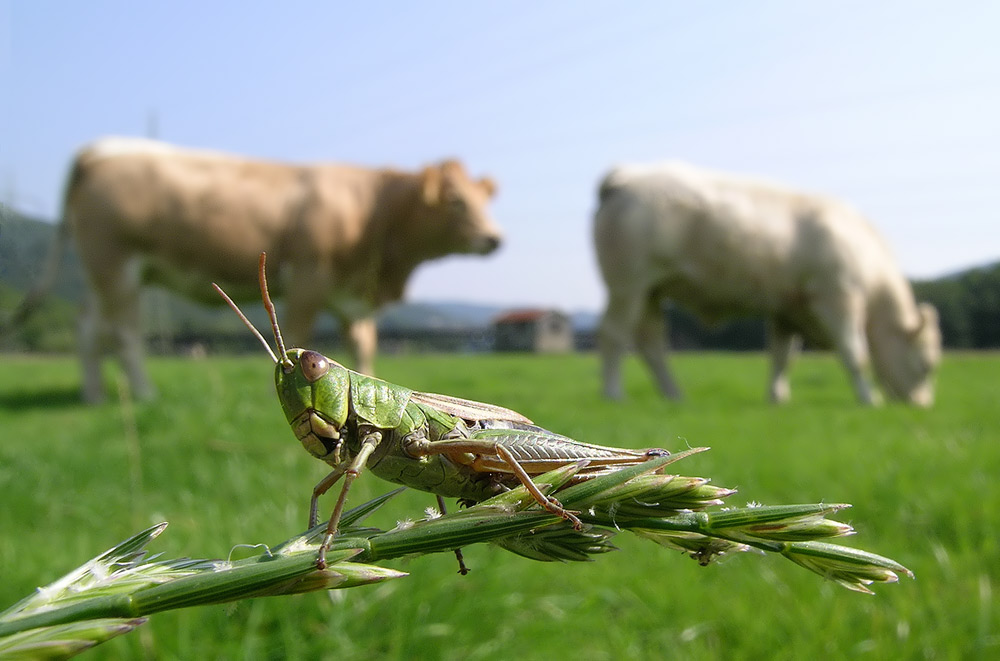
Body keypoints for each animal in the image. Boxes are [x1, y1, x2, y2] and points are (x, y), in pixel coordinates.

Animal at [21, 138, 508, 402]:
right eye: (455, 201)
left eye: (482, 200)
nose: (494, 238)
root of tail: (100, 149)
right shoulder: (310, 277)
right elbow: (297, 333)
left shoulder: (352, 295)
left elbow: (364, 344)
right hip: (115, 262)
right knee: (122, 332)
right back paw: (143, 394)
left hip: (101, 272)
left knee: (88, 328)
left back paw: (94, 397)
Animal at [592, 162, 944, 404]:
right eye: (927, 366)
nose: (923, 406)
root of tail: (626, 173)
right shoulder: (838, 298)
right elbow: (854, 353)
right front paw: (870, 399)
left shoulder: (787, 309)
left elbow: (782, 356)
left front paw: (778, 398)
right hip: (627, 285)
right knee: (613, 336)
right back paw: (613, 394)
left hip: (650, 292)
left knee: (652, 345)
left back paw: (674, 395)